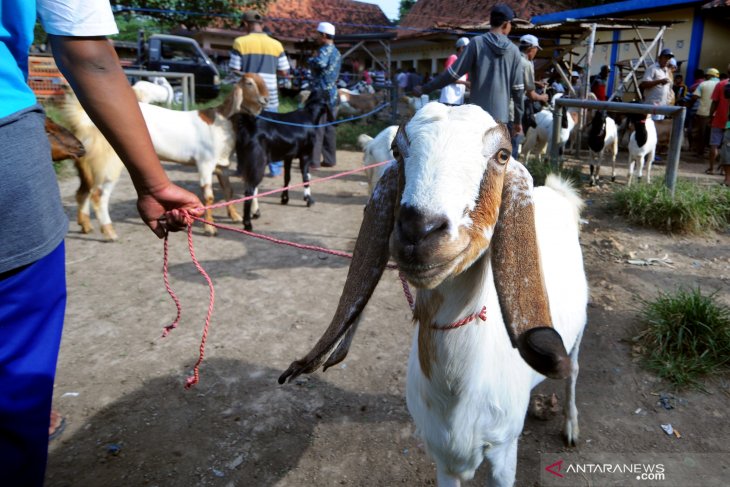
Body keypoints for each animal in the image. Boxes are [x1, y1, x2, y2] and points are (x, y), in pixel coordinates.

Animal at [136, 73, 268, 238]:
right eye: (249, 83)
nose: (266, 99)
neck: (221, 122)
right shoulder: (205, 163)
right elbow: (209, 196)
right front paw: (210, 228)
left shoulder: (222, 165)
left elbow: (228, 189)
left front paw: (235, 216)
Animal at [232, 92, 332, 233]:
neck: (309, 115)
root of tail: (248, 125)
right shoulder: (306, 155)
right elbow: (306, 177)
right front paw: (308, 199)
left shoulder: (288, 157)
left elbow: (287, 178)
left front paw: (285, 198)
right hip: (258, 161)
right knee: (249, 190)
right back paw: (248, 224)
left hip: (247, 162)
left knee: (251, 186)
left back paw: (256, 213)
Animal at [278, 103, 584, 487]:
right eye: (397, 152)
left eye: (502, 155)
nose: (418, 230)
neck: (457, 391)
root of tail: (557, 193)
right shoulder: (441, 458)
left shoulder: (503, 455)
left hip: (577, 337)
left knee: (573, 372)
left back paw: (571, 428)